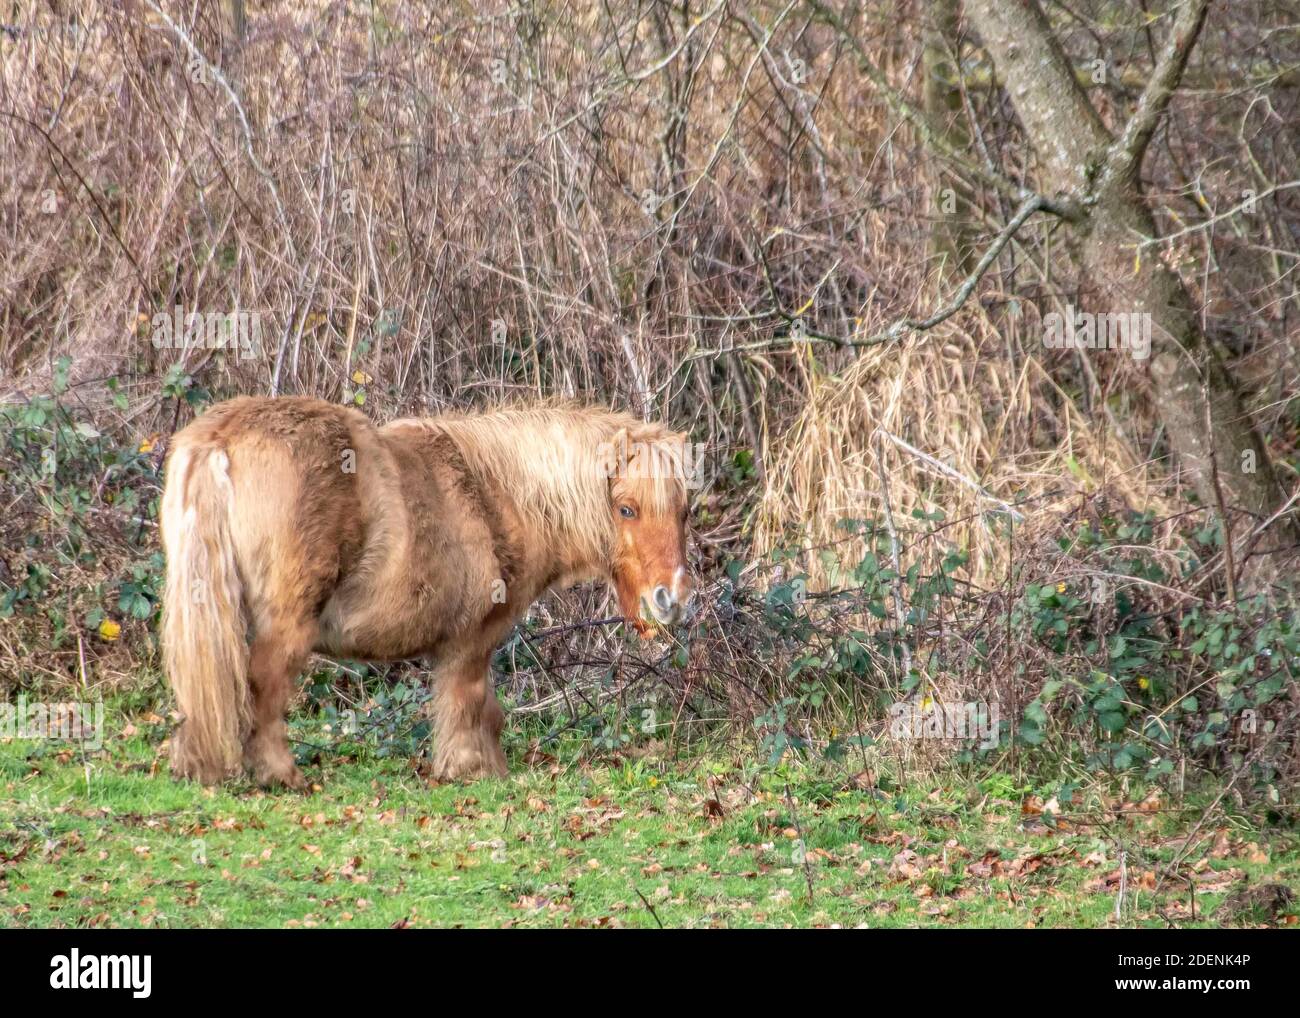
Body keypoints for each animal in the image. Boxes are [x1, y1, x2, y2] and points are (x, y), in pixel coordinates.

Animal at [159, 396, 694, 788]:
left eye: (683, 511)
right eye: (626, 509)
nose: (669, 598)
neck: (498, 493)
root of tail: (221, 437)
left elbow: (486, 711)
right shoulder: (471, 641)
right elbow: (468, 703)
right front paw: (470, 769)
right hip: (285, 623)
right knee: (264, 685)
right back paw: (280, 775)